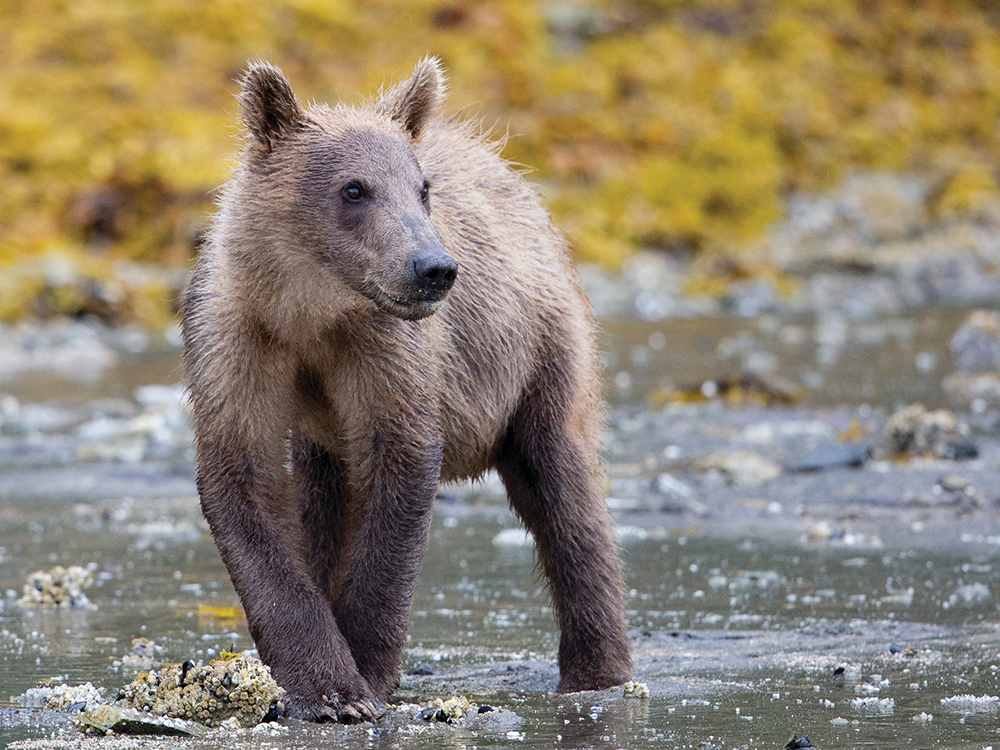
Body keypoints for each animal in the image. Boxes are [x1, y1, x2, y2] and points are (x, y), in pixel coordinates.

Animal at [182, 55, 632, 724]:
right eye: (354, 188)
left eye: (422, 188)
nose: (433, 268)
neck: (310, 314)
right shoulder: (238, 339)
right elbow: (244, 480)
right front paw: (328, 687)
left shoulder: (385, 349)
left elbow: (402, 464)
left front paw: (363, 672)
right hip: (327, 436)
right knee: (324, 499)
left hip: (539, 350)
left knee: (561, 487)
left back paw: (595, 671)